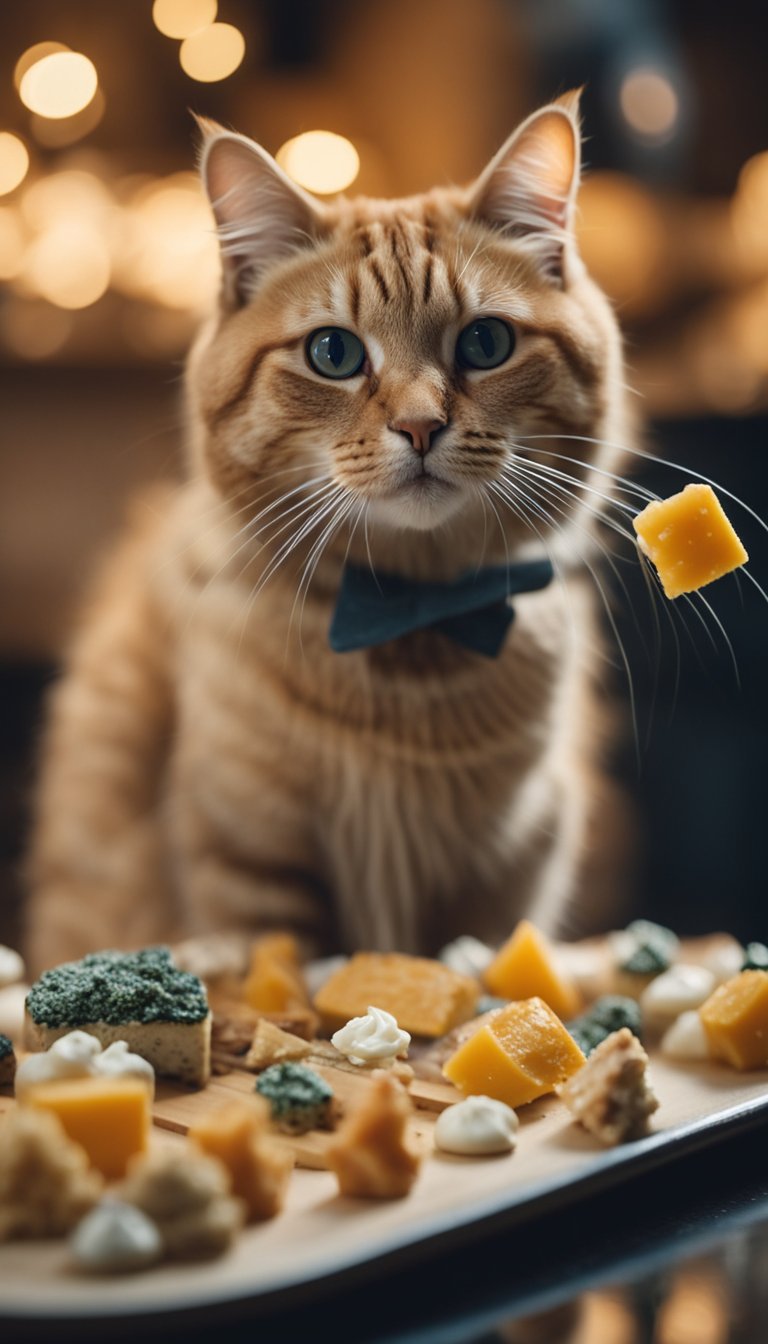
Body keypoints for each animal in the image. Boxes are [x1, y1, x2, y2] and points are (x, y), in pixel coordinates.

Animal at [27, 92, 634, 978]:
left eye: (485, 342)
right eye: (333, 353)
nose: (420, 425)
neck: (409, 634)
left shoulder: (501, 878)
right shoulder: (251, 868)